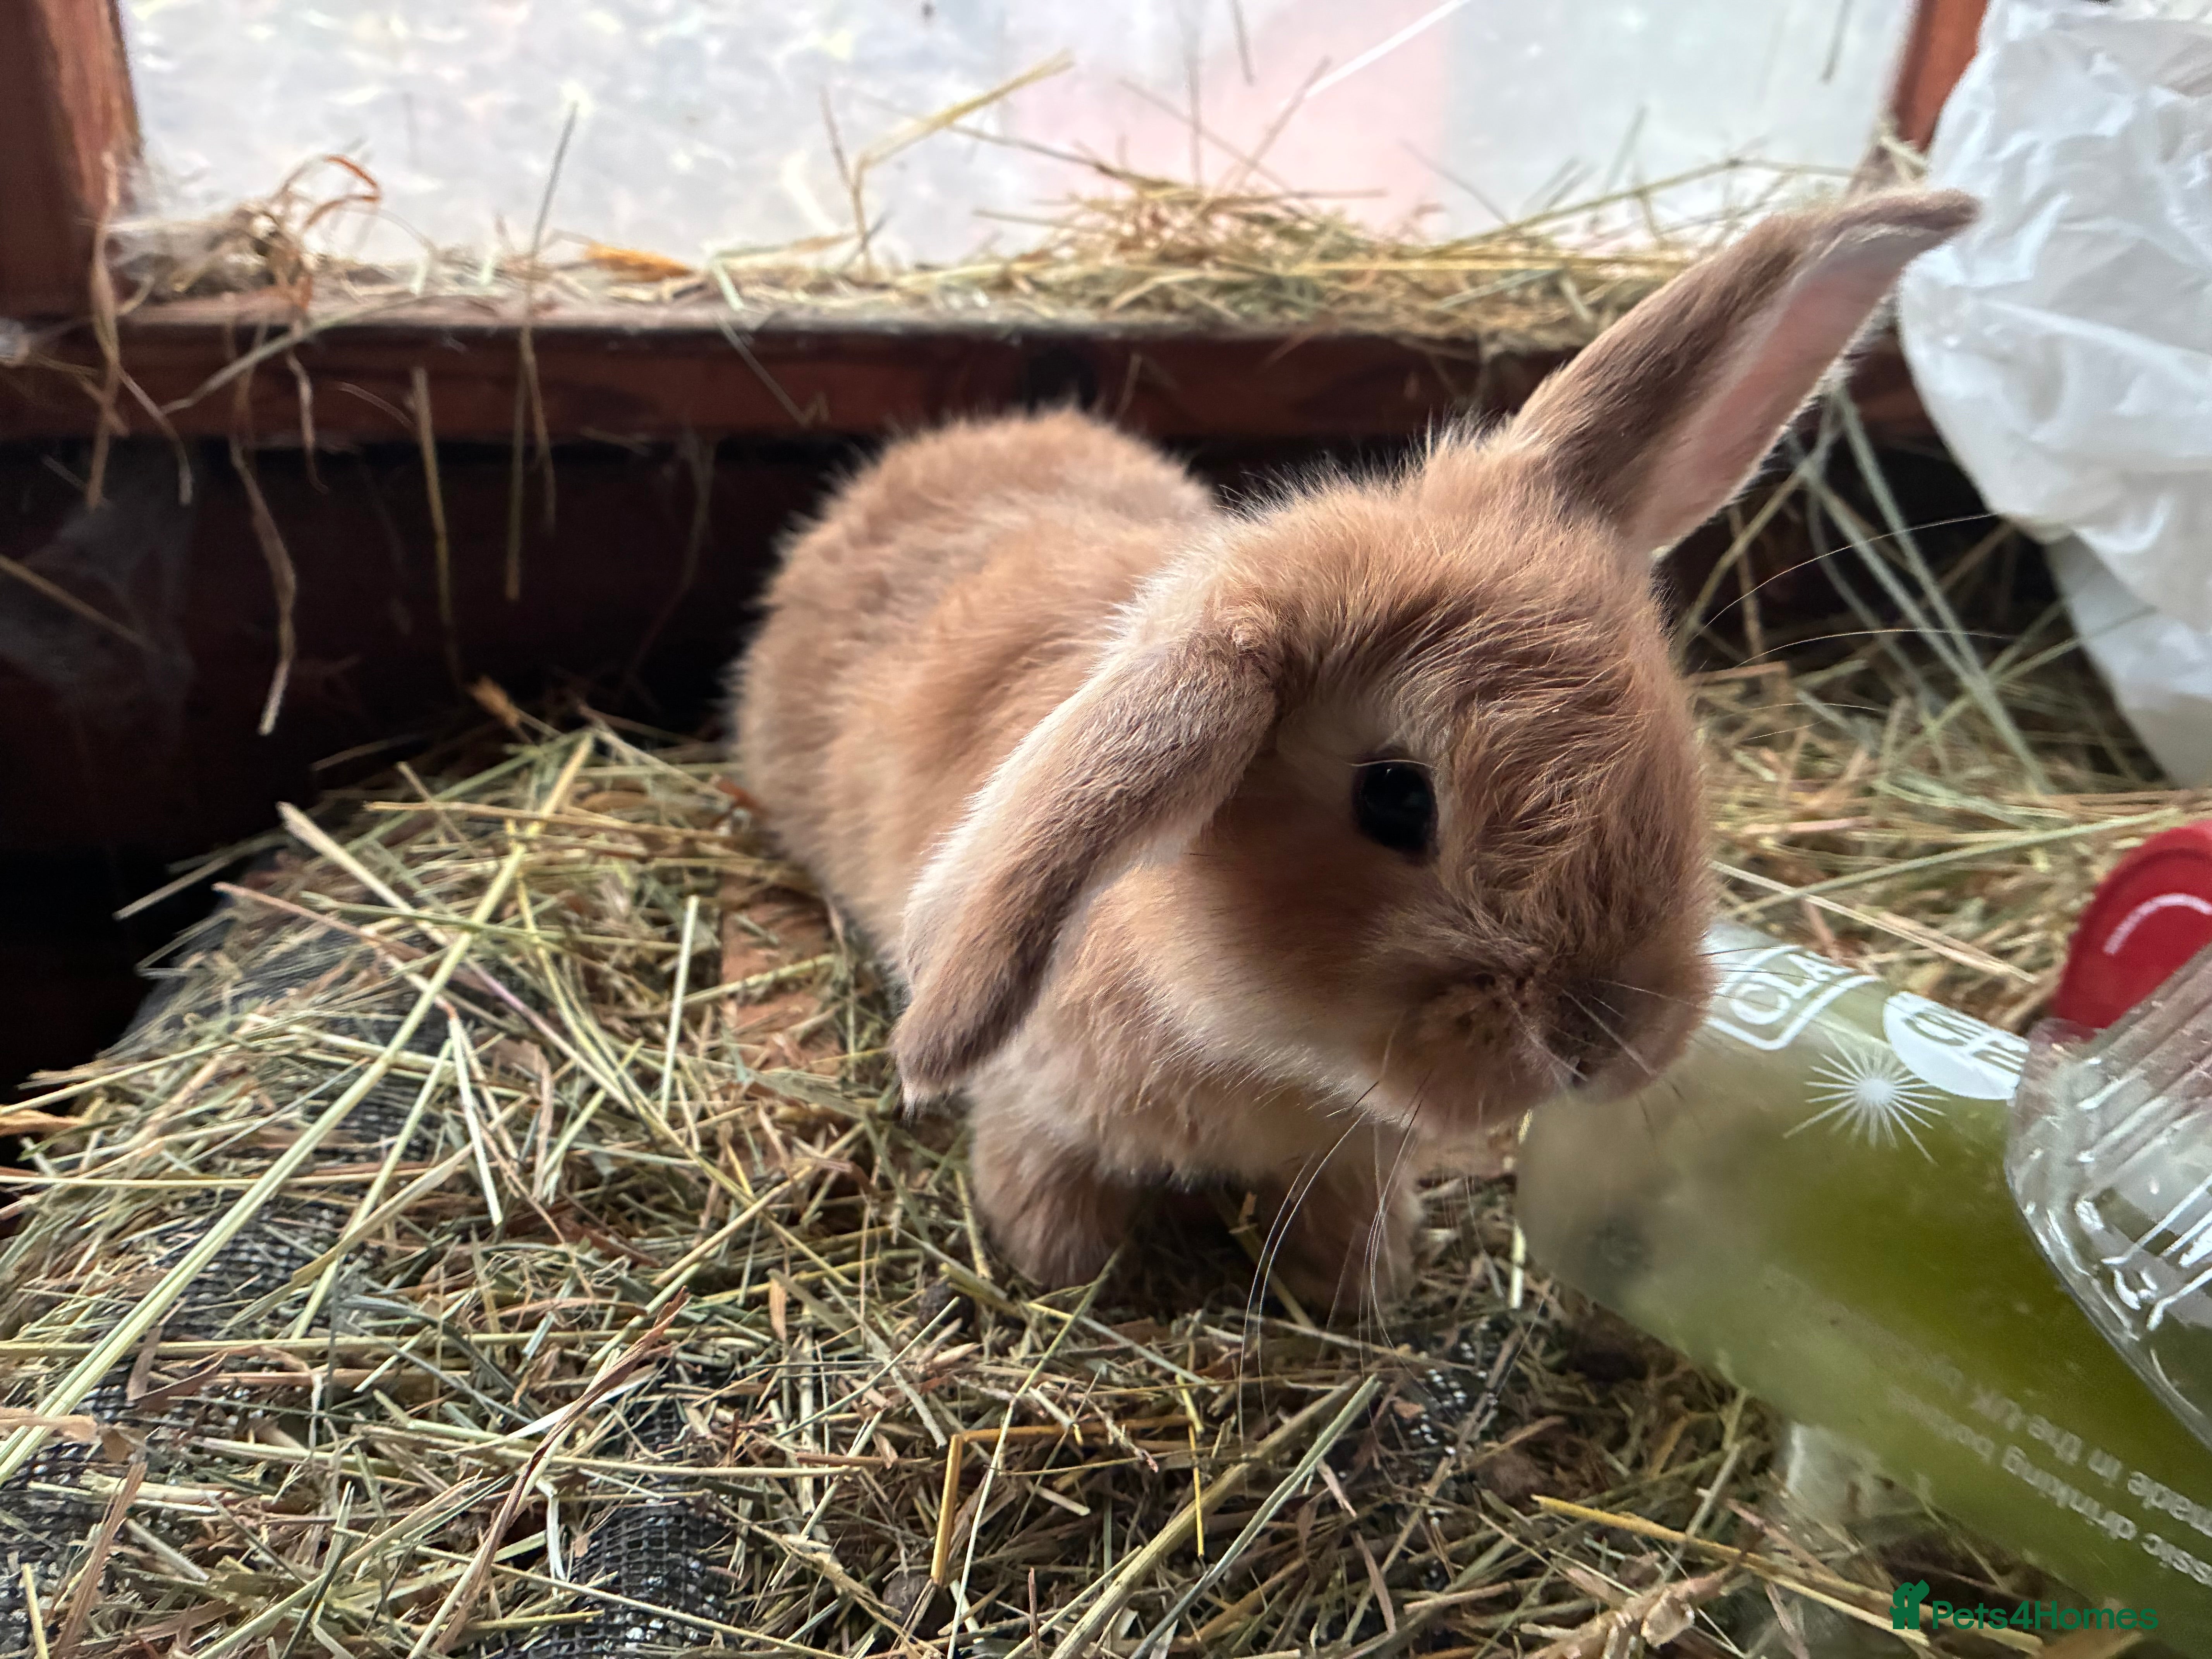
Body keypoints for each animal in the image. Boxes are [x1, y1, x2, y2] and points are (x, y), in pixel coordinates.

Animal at [731, 189, 1977, 1316]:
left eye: (1673, 740)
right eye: (1395, 799)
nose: (1611, 1046)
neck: (1260, 1035)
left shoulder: (1355, 1153)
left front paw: (1364, 1290)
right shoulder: (1039, 1113)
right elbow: (1045, 1195)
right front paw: (1066, 1277)